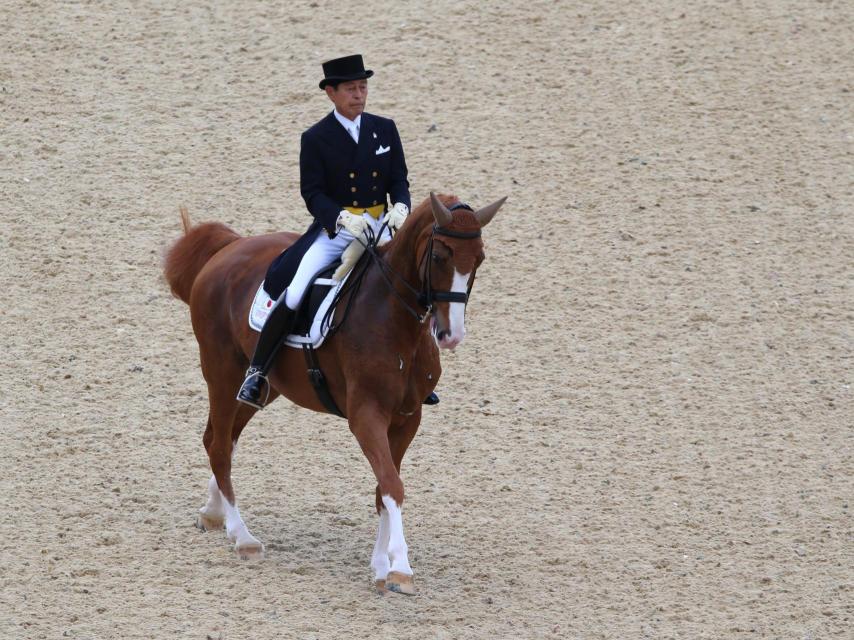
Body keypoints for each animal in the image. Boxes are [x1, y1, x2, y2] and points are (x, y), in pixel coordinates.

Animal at [164, 191, 504, 596]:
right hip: (222, 372)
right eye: (439, 256)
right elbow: (392, 485)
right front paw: (400, 569)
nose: (451, 335)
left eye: (479, 259)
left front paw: (380, 567)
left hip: (263, 386)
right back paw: (243, 537)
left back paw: (213, 514)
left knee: (222, 437)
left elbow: (383, 489)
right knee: (218, 446)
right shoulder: (366, 416)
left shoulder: (407, 418)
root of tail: (230, 247)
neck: (393, 320)